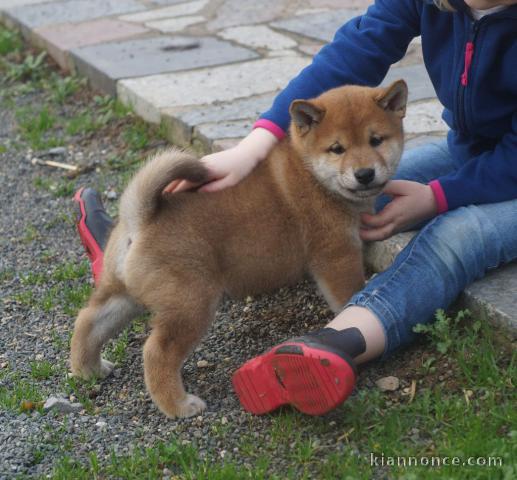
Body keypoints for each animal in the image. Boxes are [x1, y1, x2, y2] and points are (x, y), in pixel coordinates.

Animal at [69, 79, 408, 416]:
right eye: (337, 149)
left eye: (376, 140)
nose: (364, 174)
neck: (311, 174)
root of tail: (141, 218)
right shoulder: (338, 256)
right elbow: (350, 294)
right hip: (191, 303)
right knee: (156, 351)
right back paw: (178, 405)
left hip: (125, 293)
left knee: (89, 320)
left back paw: (88, 369)